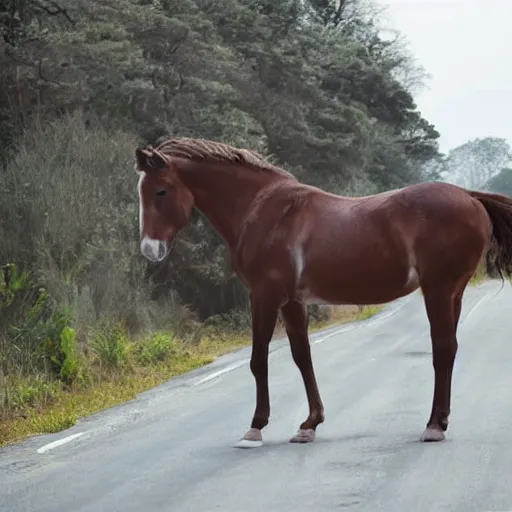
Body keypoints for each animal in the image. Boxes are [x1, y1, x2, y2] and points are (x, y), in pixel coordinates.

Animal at [135, 137, 512, 448]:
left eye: (161, 191)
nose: (150, 250)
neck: (261, 210)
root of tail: (470, 196)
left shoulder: (265, 296)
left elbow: (259, 360)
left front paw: (255, 428)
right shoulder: (292, 302)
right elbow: (302, 357)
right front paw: (309, 425)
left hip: (438, 289)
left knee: (443, 349)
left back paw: (433, 426)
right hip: (453, 292)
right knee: (448, 349)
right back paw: (440, 422)